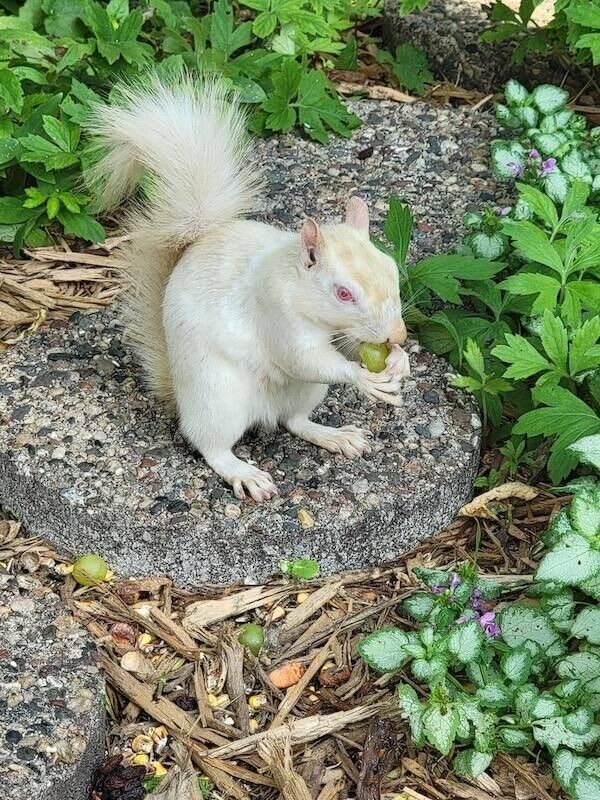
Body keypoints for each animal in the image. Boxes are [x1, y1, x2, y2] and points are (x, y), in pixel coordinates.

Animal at [85, 75, 408, 500]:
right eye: (343, 293)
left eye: (393, 271)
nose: (398, 334)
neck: (298, 289)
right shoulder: (275, 315)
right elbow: (304, 357)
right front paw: (364, 378)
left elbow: (349, 348)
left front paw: (399, 361)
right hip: (219, 398)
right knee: (211, 445)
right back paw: (244, 473)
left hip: (305, 392)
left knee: (295, 421)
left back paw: (334, 436)